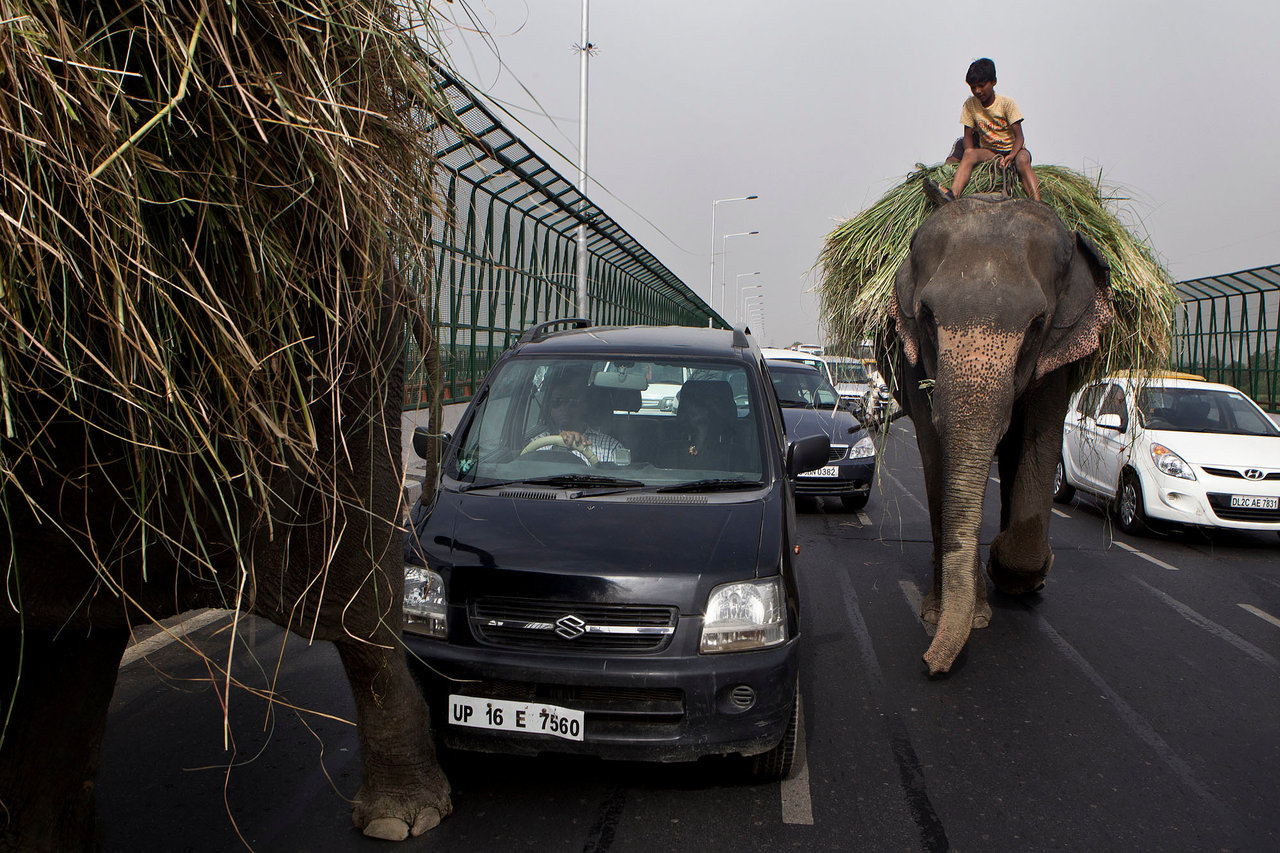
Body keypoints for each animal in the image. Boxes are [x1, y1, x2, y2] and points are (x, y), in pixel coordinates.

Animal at [879, 189, 1112, 675]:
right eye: (926, 316)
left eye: (1037, 325)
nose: (930, 665)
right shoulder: (912, 355)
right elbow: (932, 448)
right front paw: (953, 616)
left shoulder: (1057, 356)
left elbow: (1042, 436)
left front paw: (1015, 568)